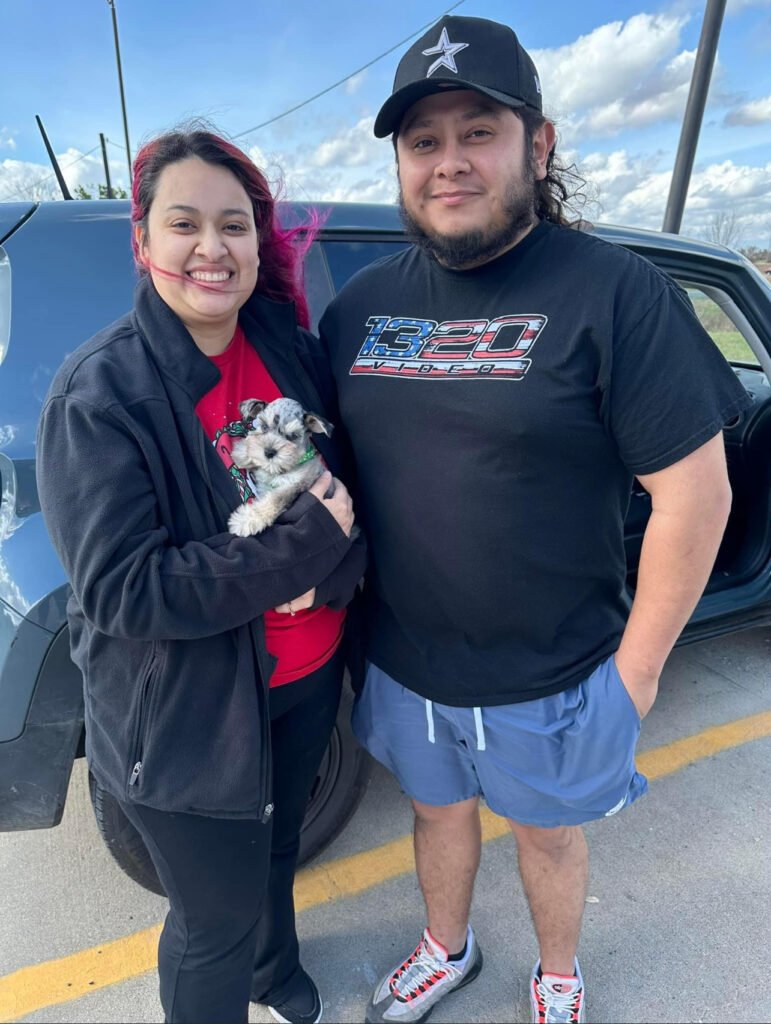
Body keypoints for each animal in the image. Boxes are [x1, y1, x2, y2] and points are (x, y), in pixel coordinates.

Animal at [227, 397, 333, 537]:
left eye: (292, 436)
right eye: (264, 426)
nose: (269, 452)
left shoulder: (295, 486)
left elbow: (274, 499)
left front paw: (246, 520)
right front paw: (242, 453)